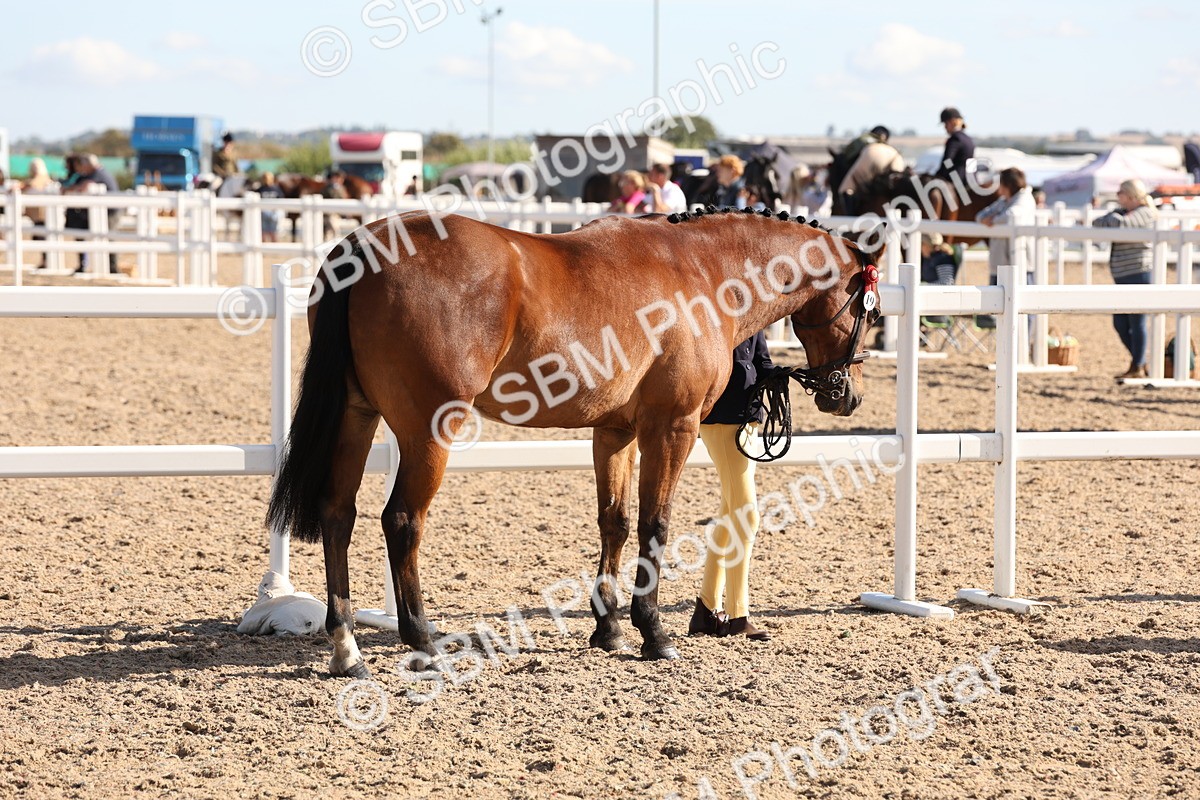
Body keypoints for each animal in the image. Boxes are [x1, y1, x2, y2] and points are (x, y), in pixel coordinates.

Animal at [266, 207, 883, 677]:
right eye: (867, 310)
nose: (846, 397)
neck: (700, 271)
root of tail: (363, 245)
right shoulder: (673, 427)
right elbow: (656, 524)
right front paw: (654, 633)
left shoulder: (616, 430)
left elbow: (616, 522)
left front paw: (608, 629)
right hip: (430, 431)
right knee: (401, 521)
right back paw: (421, 640)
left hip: (357, 417)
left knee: (337, 513)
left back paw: (347, 647)